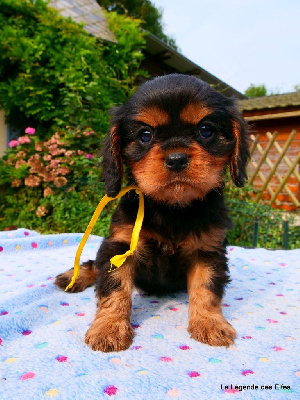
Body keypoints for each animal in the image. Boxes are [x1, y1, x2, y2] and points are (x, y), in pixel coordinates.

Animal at [55, 73, 250, 352]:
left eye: (206, 130)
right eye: (145, 135)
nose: (176, 158)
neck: (172, 208)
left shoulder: (208, 251)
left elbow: (206, 288)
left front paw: (210, 323)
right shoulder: (120, 245)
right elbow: (115, 287)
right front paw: (109, 328)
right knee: (95, 264)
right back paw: (74, 276)